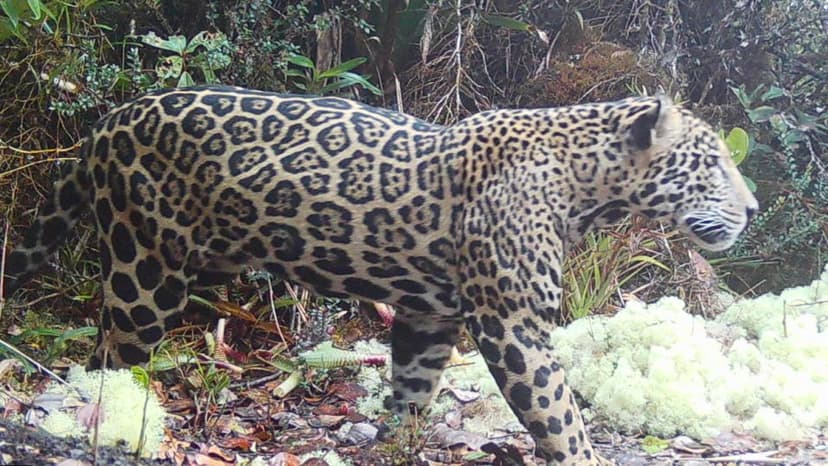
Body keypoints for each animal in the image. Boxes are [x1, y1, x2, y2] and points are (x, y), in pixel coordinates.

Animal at [3, 86, 757, 464]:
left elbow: (414, 389)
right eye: (713, 162)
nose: (752, 210)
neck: (589, 187)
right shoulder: (511, 323)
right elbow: (559, 414)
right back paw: (117, 424)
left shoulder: (431, 314)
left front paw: (398, 445)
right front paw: (581, 457)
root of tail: (106, 123)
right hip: (145, 269)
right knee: (111, 359)